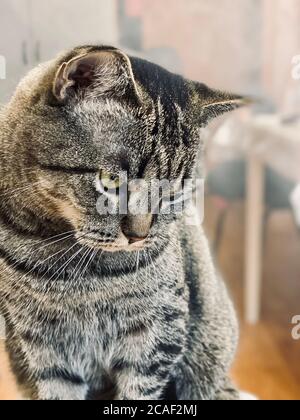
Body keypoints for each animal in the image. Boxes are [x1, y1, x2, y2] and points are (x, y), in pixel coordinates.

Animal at [0, 46, 246, 400]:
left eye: (173, 191)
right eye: (111, 181)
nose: (139, 236)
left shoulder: (157, 331)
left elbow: (140, 392)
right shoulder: (40, 341)